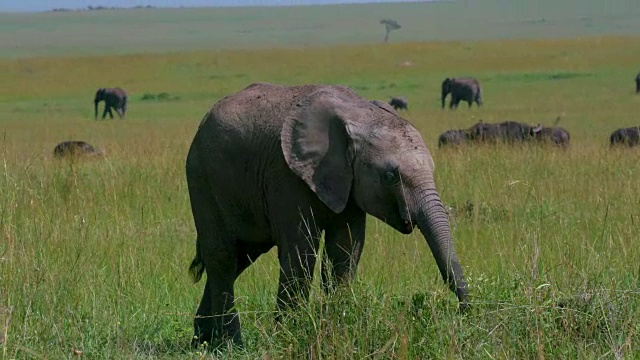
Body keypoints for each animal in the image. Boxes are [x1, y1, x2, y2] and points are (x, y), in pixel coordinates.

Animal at [185, 82, 470, 348]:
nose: (465, 313)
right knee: (222, 256)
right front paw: (290, 337)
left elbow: (345, 250)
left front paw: (337, 329)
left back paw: (203, 341)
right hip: (203, 178)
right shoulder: (287, 175)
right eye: (390, 177)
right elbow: (301, 252)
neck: (359, 114)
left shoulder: (349, 183)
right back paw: (230, 343)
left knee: (241, 257)